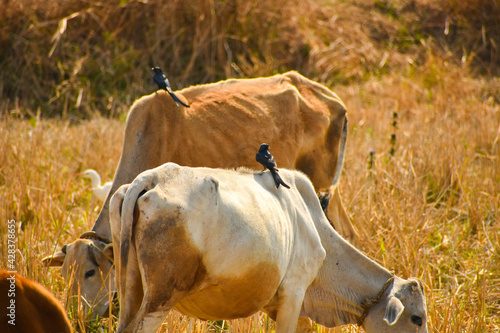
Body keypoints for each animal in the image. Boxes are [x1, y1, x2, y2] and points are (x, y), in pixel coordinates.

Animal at [43, 70, 356, 316]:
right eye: (65, 273)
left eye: (89, 272)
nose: (77, 315)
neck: (153, 135)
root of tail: (331, 99)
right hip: (328, 192)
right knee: (348, 232)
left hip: (320, 185)